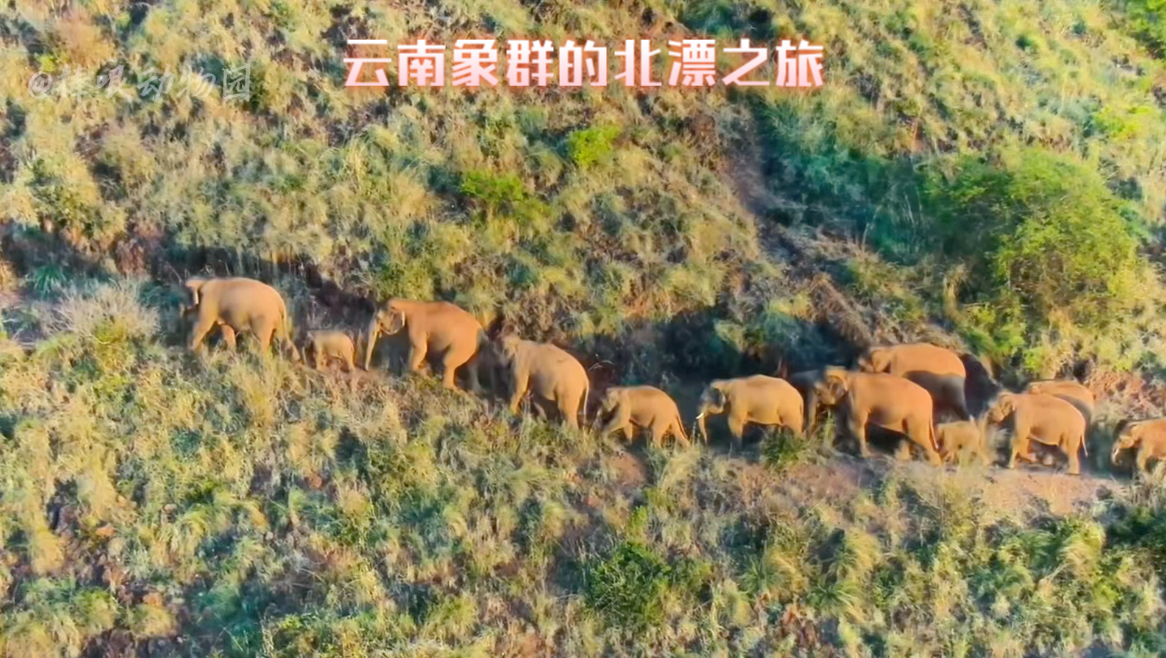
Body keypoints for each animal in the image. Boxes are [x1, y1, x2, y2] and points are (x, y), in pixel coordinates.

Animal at [812, 367, 941, 465]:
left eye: (817, 391)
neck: (847, 374)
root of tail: (930, 402)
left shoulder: (857, 400)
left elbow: (854, 425)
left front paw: (865, 456)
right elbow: (843, 423)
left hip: (917, 417)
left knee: (918, 437)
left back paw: (934, 464)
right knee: (909, 435)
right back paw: (900, 458)